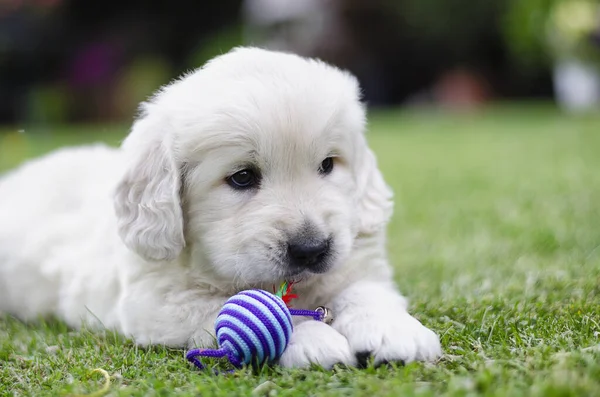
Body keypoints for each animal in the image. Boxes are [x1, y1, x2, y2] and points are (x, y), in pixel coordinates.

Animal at [0, 48, 440, 366]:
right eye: (242, 177)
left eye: (328, 165)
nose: (312, 249)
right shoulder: (157, 302)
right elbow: (226, 308)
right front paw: (314, 340)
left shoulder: (355, 263)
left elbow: (366, 290)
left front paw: (394, 331)